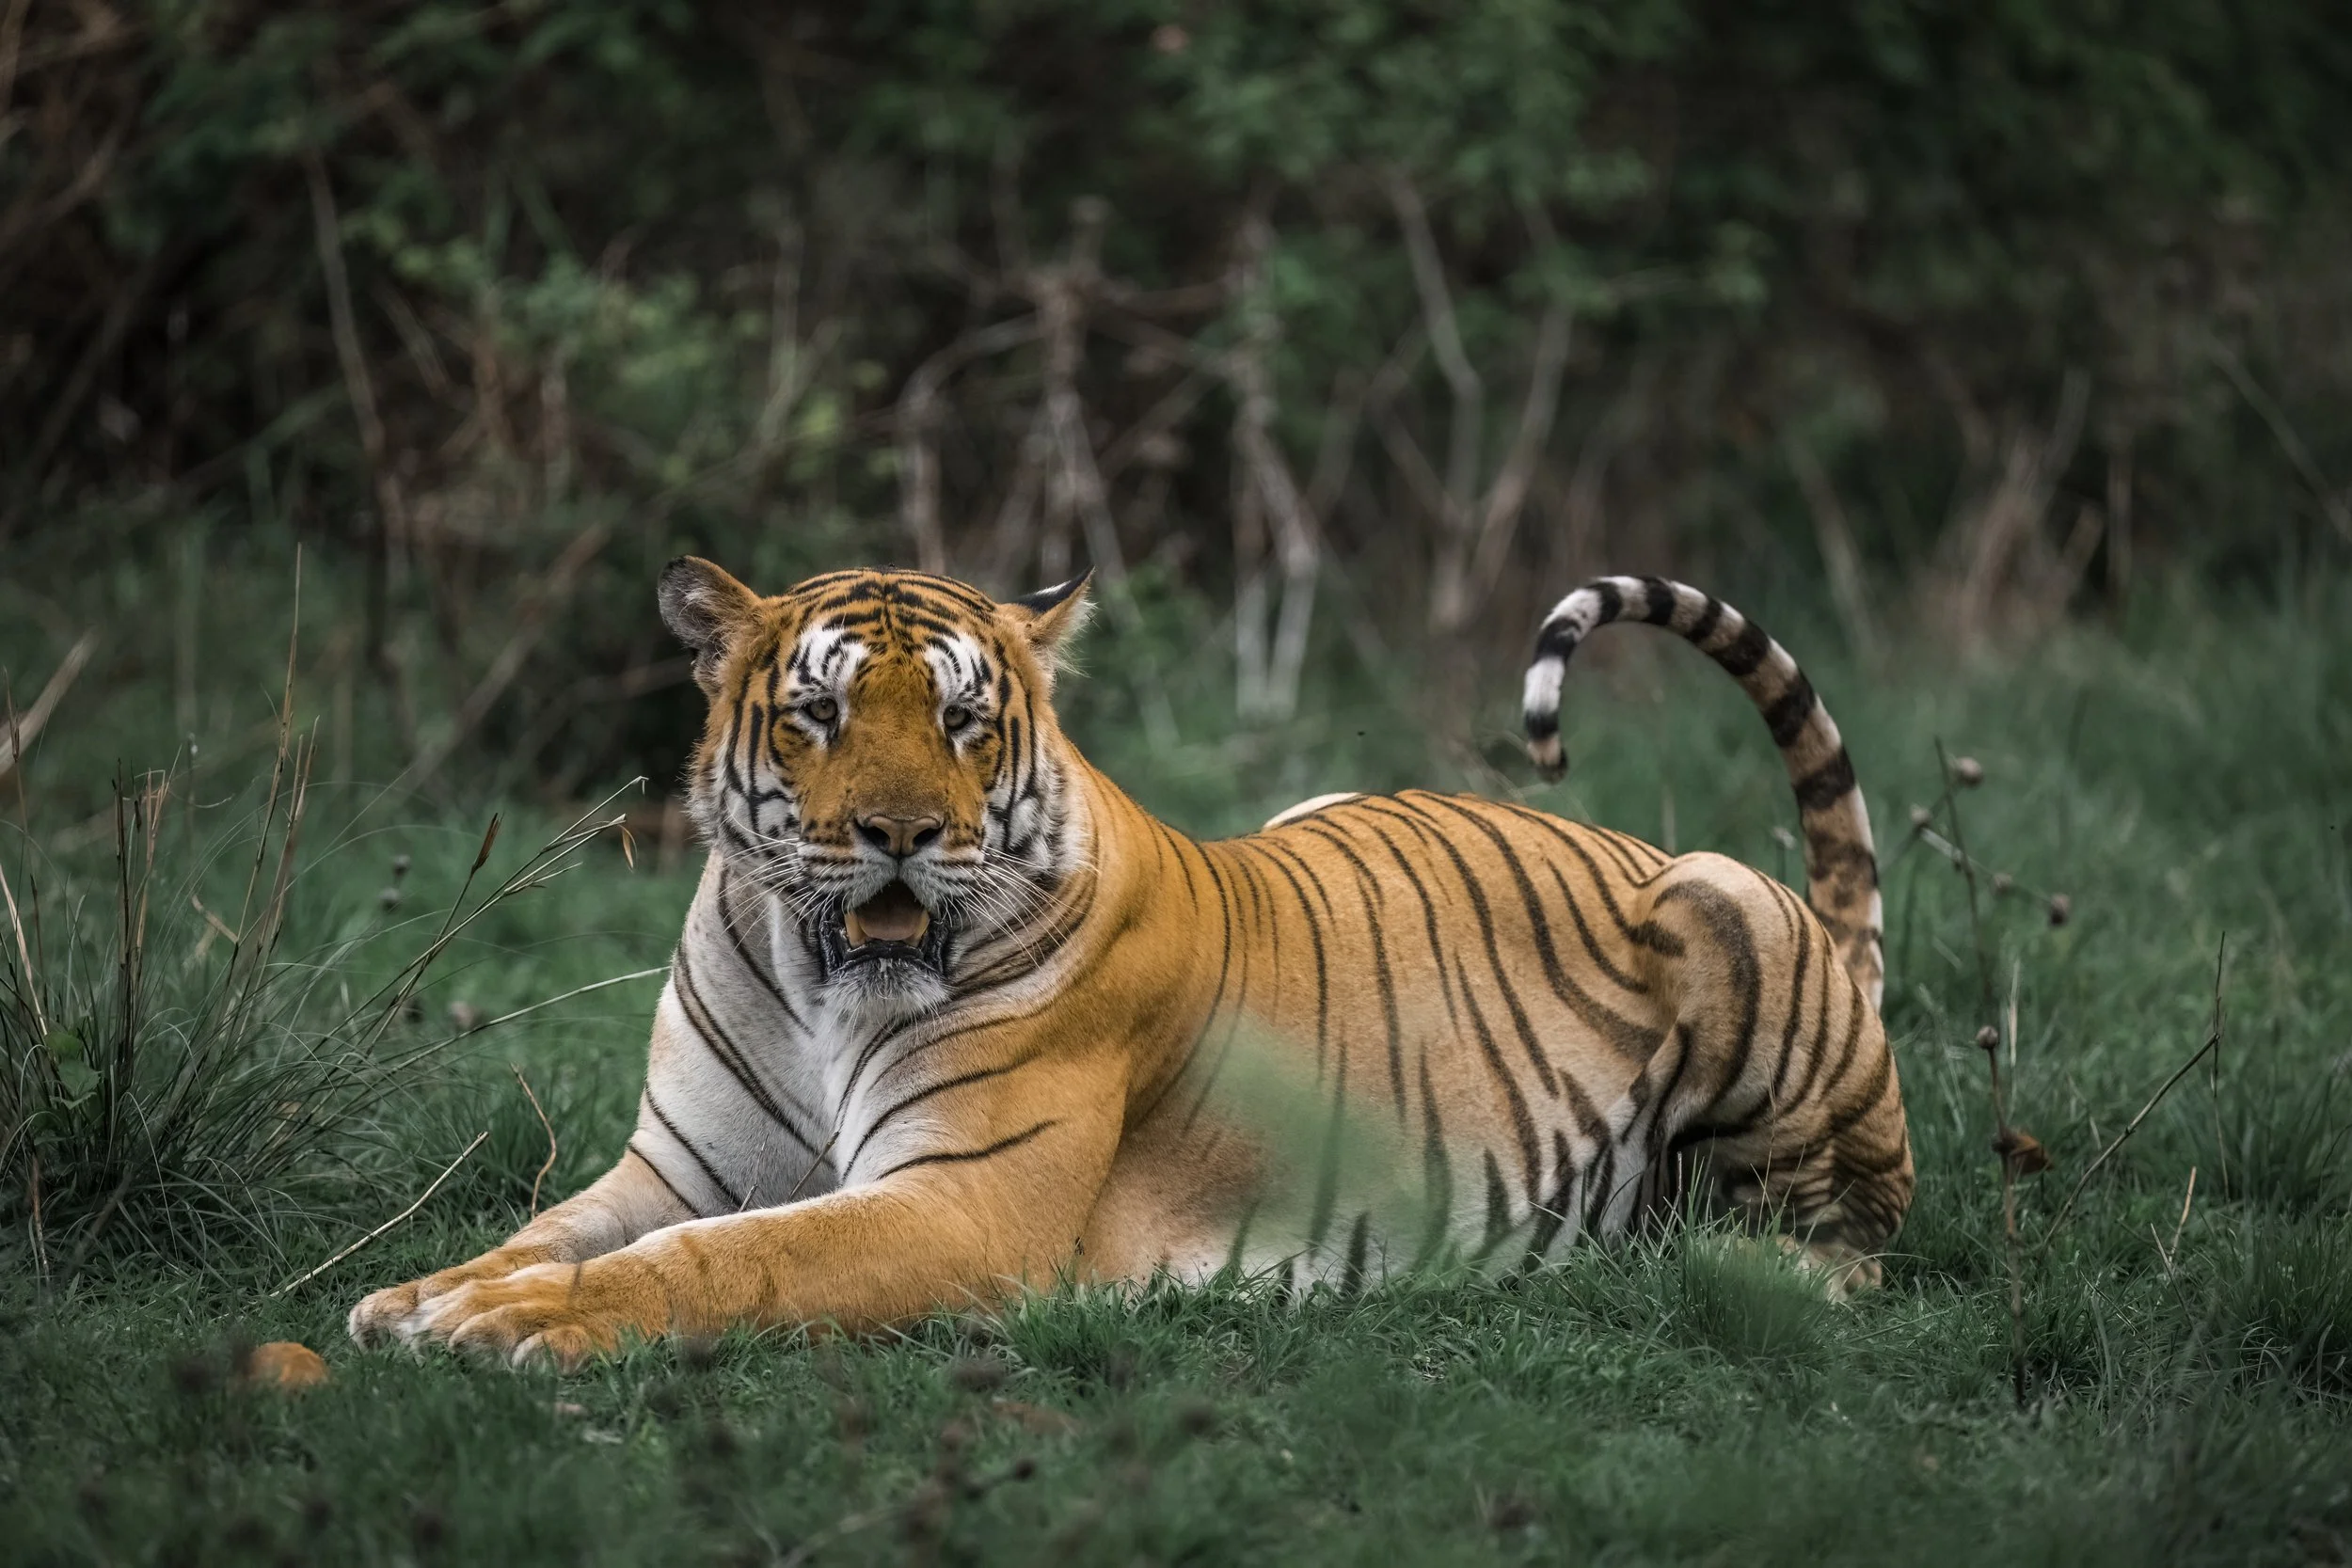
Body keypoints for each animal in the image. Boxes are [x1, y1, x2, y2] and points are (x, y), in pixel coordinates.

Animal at [349, 563, 1911, 1367]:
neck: (813, 977)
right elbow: (553, 1230)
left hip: (1724, 906)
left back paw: (1740, 1267)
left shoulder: (957, 1204)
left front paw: (510, 1322)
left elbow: (733, 1259)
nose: (902, 832)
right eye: (820, 712)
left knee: (1856, 1236)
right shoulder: (679, 1167)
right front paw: (424, 1294)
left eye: (966, 720)